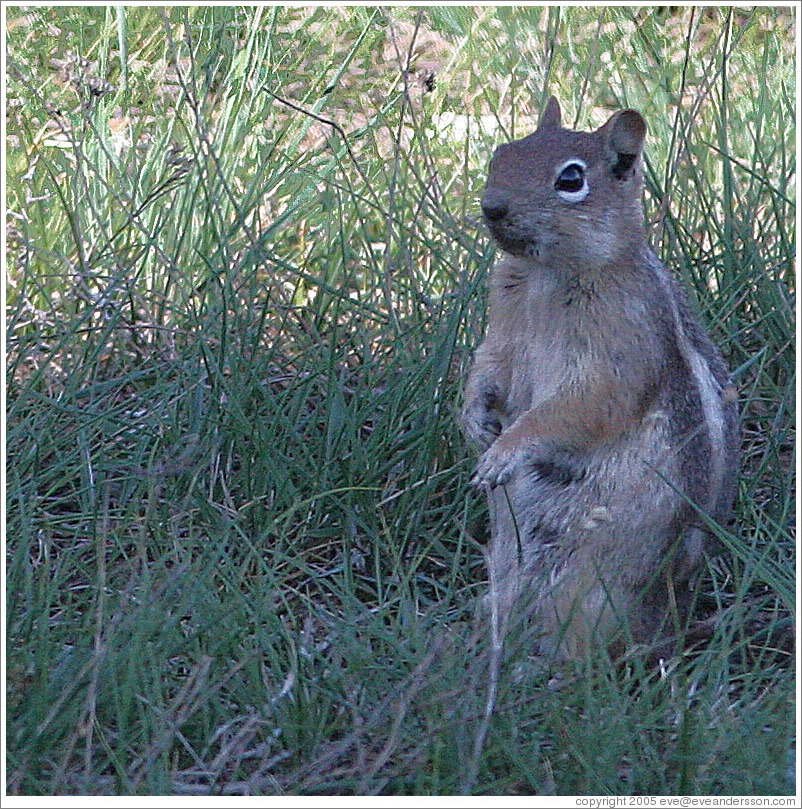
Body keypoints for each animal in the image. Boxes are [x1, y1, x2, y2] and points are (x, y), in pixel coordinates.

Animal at [462, 96, 740, 660]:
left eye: (571, 179)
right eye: (502, 153)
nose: (492, 207)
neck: (544, 275)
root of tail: (668, 622)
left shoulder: (617, 348)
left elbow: (585, 405)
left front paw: (504, 452)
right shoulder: (503, 331)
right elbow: (487, 368)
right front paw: (474, 421)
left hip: (585, 584)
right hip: (511, 561)